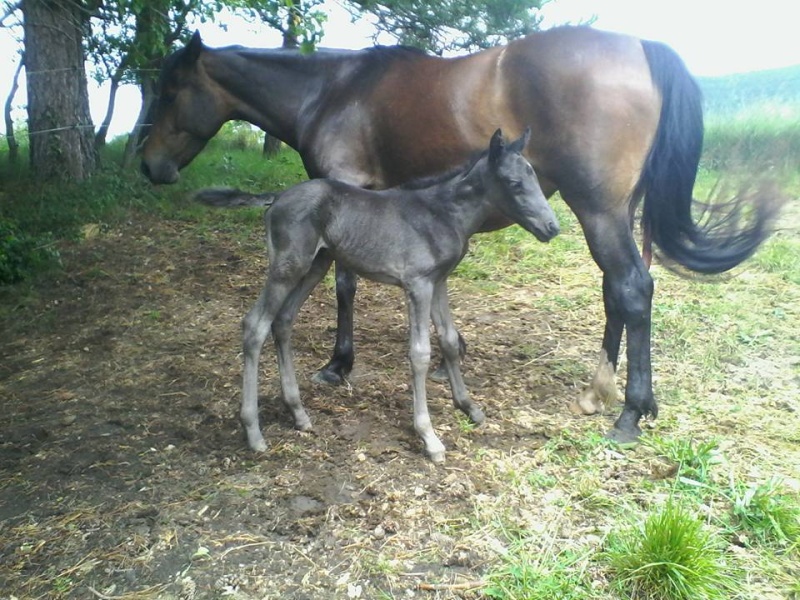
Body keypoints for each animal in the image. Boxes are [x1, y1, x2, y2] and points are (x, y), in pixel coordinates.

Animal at [139, 25, 776, 442]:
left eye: (169, 92)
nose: (149, 166)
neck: (334, 88)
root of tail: (642, 47)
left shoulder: (348, 183)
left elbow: (346, 284)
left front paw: (340, 364)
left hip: (597, 206)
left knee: (631, 288)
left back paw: (629, 412)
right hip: (616, 209)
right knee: (620, 289)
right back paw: (602, 392)